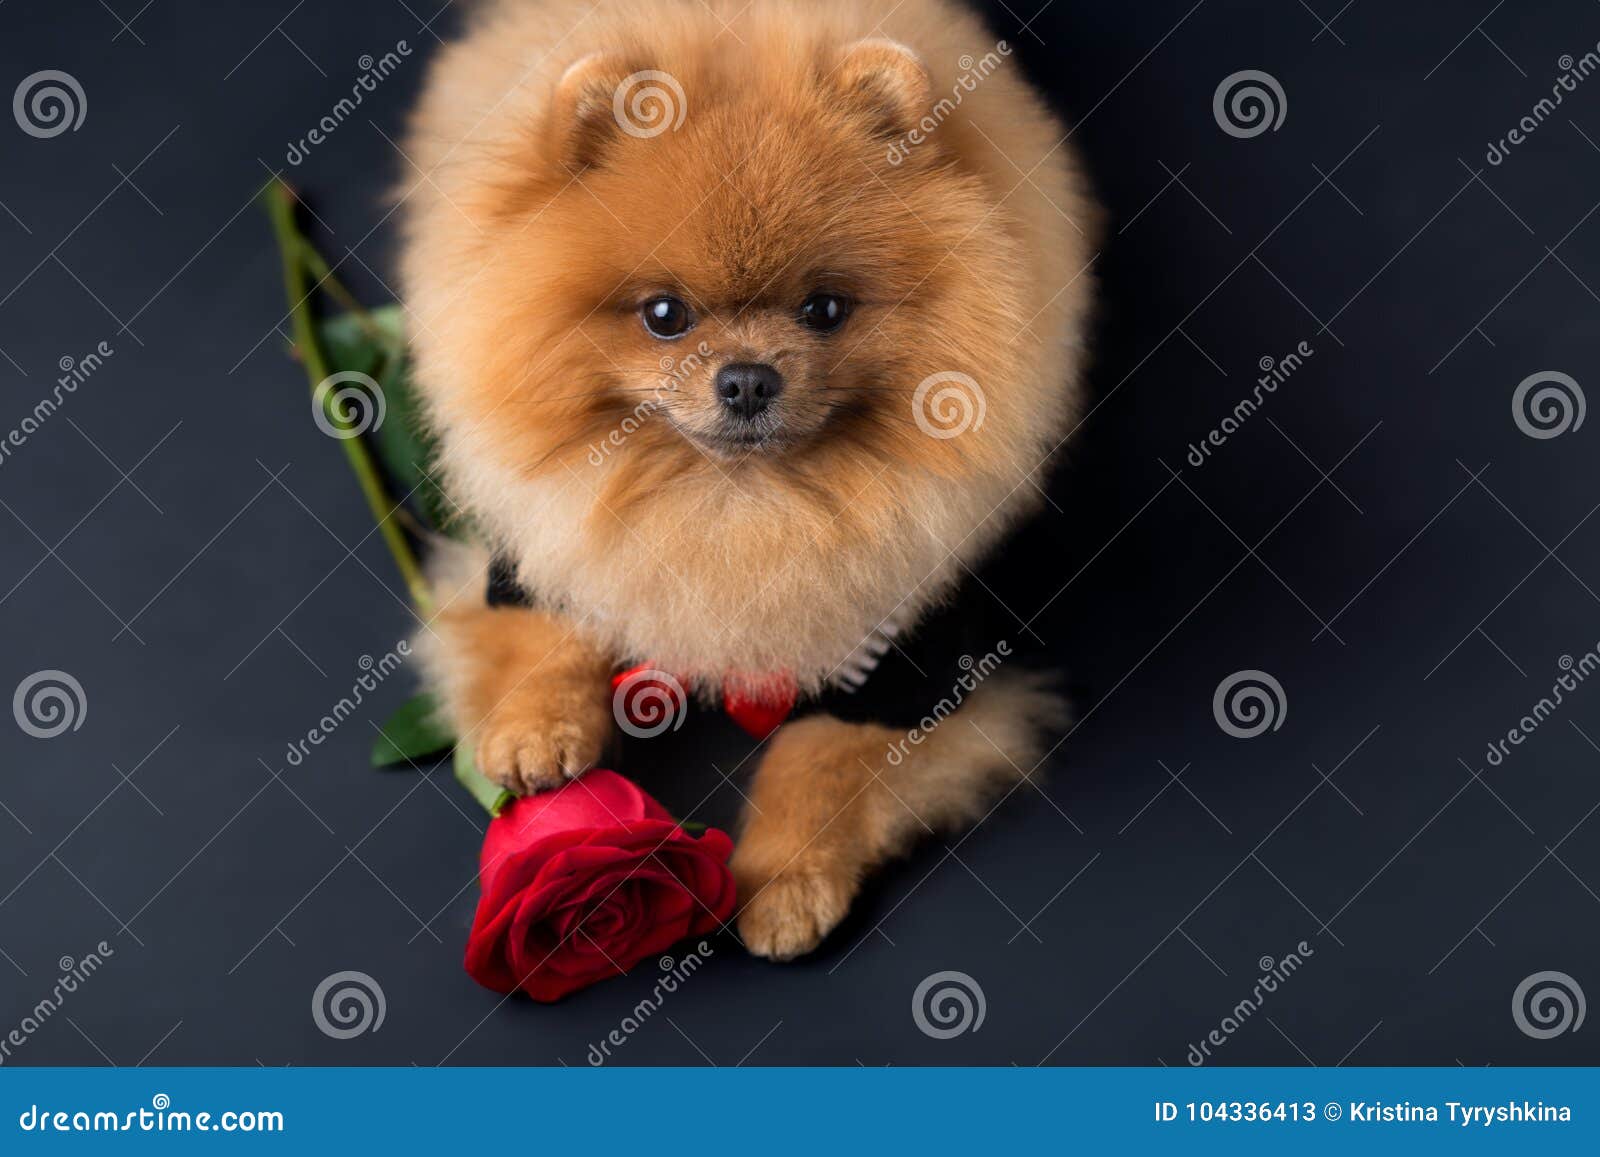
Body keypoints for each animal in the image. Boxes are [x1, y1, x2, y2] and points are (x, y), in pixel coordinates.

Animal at [403, 0, 1100, 960]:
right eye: (664, 315)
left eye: (825, 308)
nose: (745, 378)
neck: (736, 507)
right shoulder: (534, 547)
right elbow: (550, 624)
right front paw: (535, 727)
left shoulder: (904, 661)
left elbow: (820, 759)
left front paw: (786, 881)